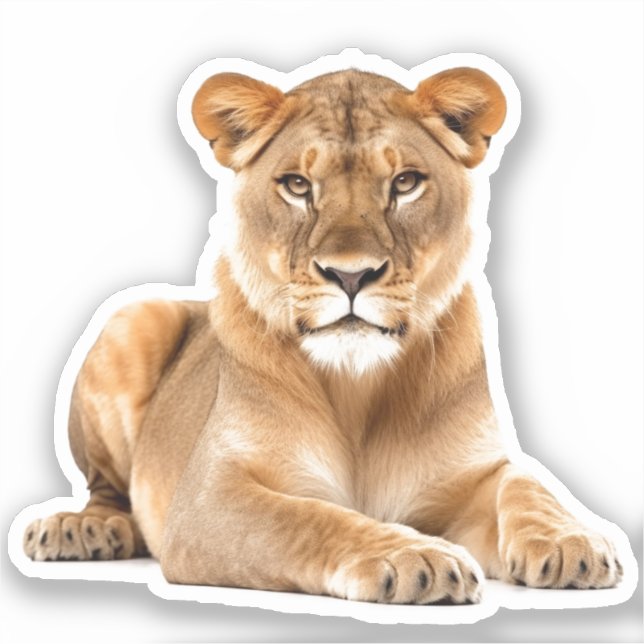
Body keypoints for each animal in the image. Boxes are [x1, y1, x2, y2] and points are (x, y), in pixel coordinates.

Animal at [23, 63, 624, 605]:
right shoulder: (208, 501)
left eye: (405, 182)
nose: (351, 275)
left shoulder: (473, 475)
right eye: (297, 185)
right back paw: (81, 530)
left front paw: (572, 542)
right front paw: (412, 556)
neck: (358, 386)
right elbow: (307, 518)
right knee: (105, 490)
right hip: (132, 317)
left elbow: (525, 484)